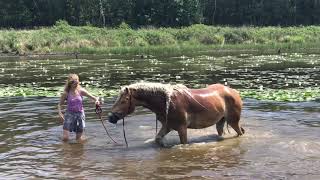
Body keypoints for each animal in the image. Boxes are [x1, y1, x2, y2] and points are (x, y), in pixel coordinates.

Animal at [108, 82, 245, 145]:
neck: (166, 102)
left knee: (240, 133)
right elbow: (158, 139)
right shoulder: (167, 126)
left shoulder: (181, 128)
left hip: (233, 121)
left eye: (124, 100)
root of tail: (234, 91)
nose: (110, 117)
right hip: (220, 121)